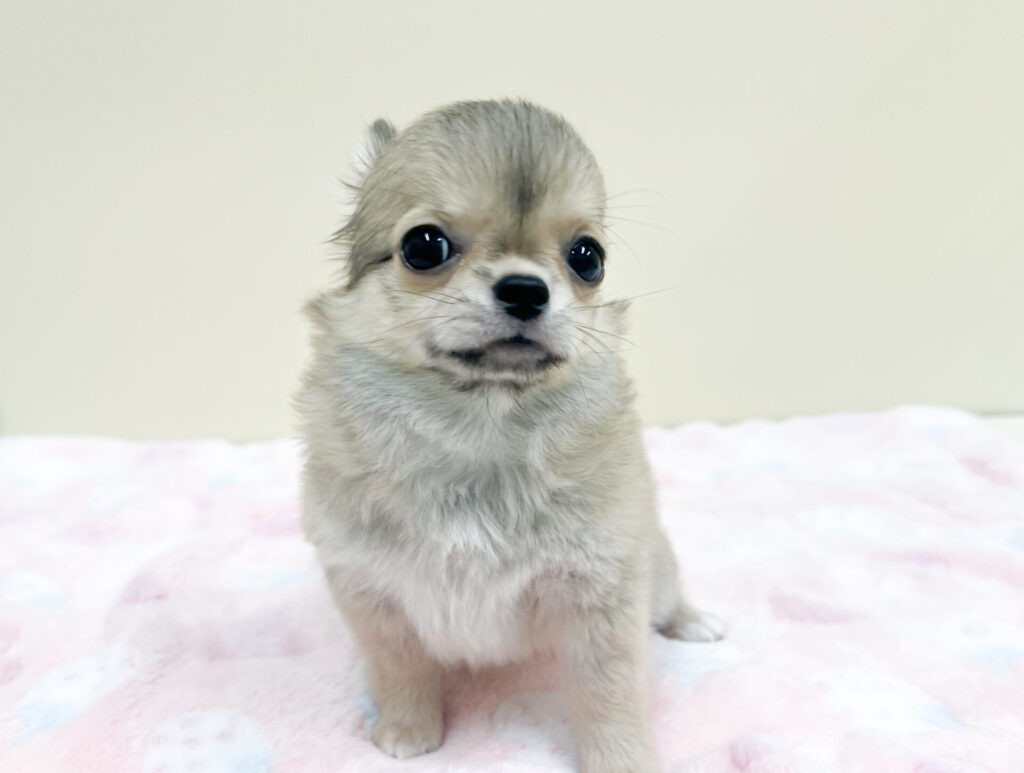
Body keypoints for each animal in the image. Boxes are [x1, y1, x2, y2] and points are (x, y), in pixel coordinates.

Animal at [297, 99, 722, 773]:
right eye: (423, 246)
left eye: (587, 257)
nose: (526, 288)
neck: (480, 427)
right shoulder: (372, 595)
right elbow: (401, 669)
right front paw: (407, 730)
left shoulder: (603, 595)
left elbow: (609, 693)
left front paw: (621, 759)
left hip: (652, 568)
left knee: (668, 597)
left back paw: (694, 622)